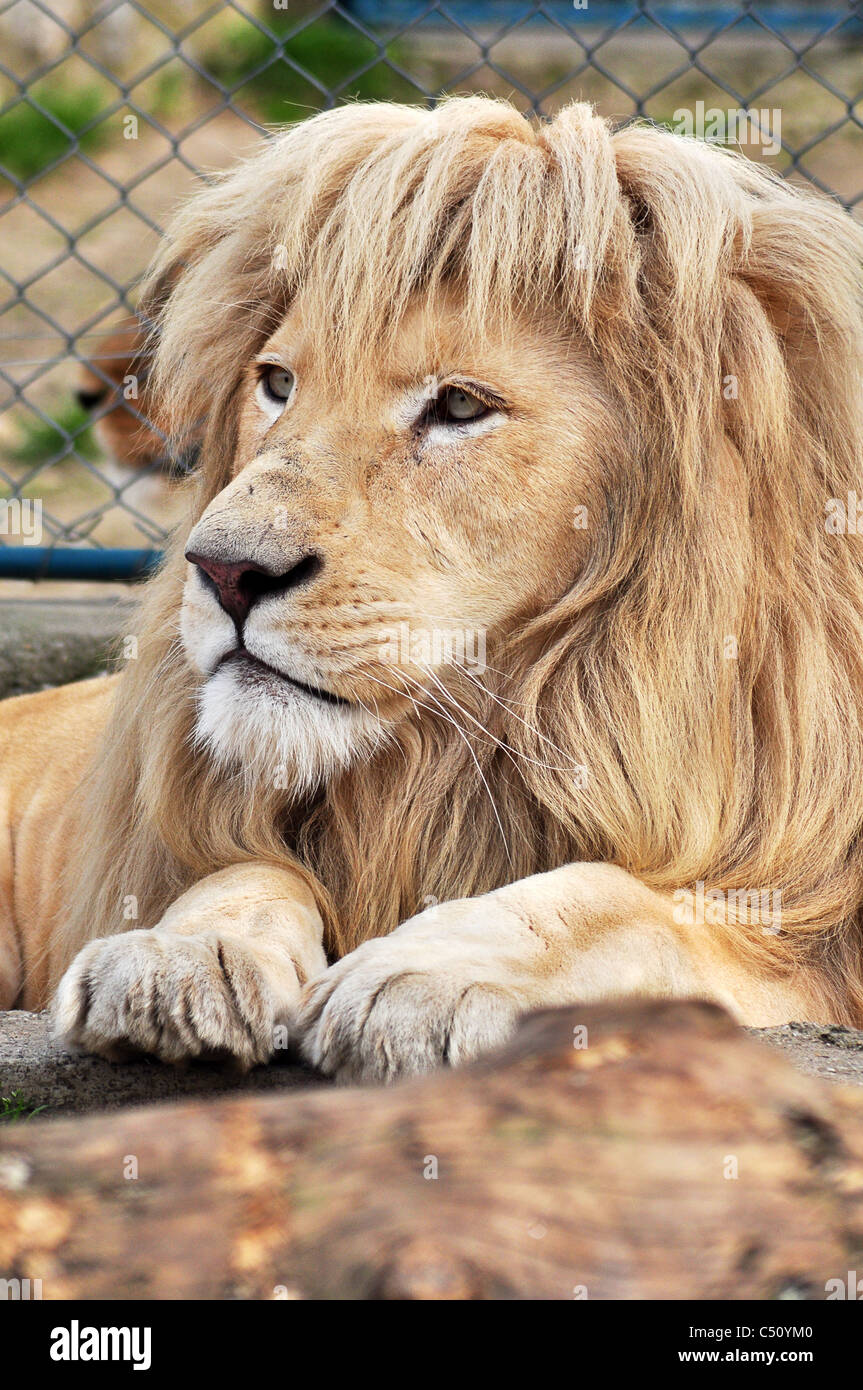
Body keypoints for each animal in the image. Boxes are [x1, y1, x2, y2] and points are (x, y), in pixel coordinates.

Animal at [1, 97, 862, 1084]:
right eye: (278, 384)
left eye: (458, 407)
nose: (222, 571)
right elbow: (241, 871)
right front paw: (173, 961)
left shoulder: (809, 943)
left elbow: (611, 900)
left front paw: (417, 978)